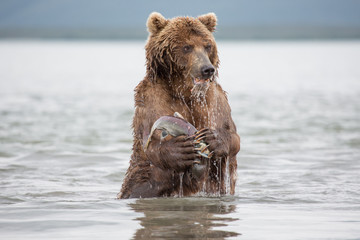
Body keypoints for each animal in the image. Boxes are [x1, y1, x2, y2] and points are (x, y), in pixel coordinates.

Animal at [118, 11, 240, 199]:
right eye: (187, 47)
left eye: (207, 45)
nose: (207, 69)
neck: (186, 92)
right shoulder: (153, 100)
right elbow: (151, 143)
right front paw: (181, 150)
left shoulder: (215, 102)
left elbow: (233, 136)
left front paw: (213, 138)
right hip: (141, 179)